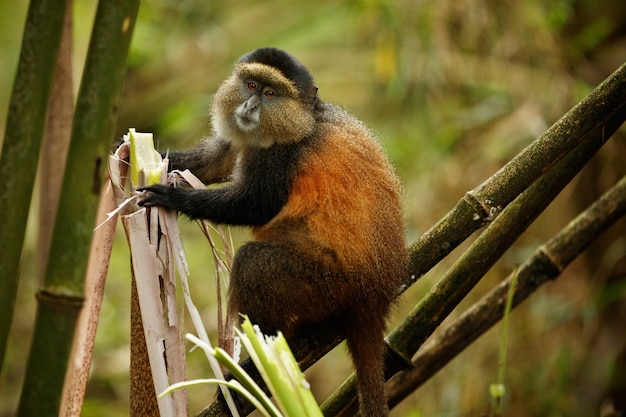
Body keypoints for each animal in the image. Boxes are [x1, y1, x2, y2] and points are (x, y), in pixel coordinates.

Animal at [138, 47, 408, 414]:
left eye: (270, 94)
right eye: (251, 85)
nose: (250, 108)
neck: (306, 119)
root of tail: (376, 298)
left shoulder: (282, 155)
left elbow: (256, 205)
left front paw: (174, 197)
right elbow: (216, 160)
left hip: (329, 284)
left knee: (254, 265)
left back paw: (255, 369)